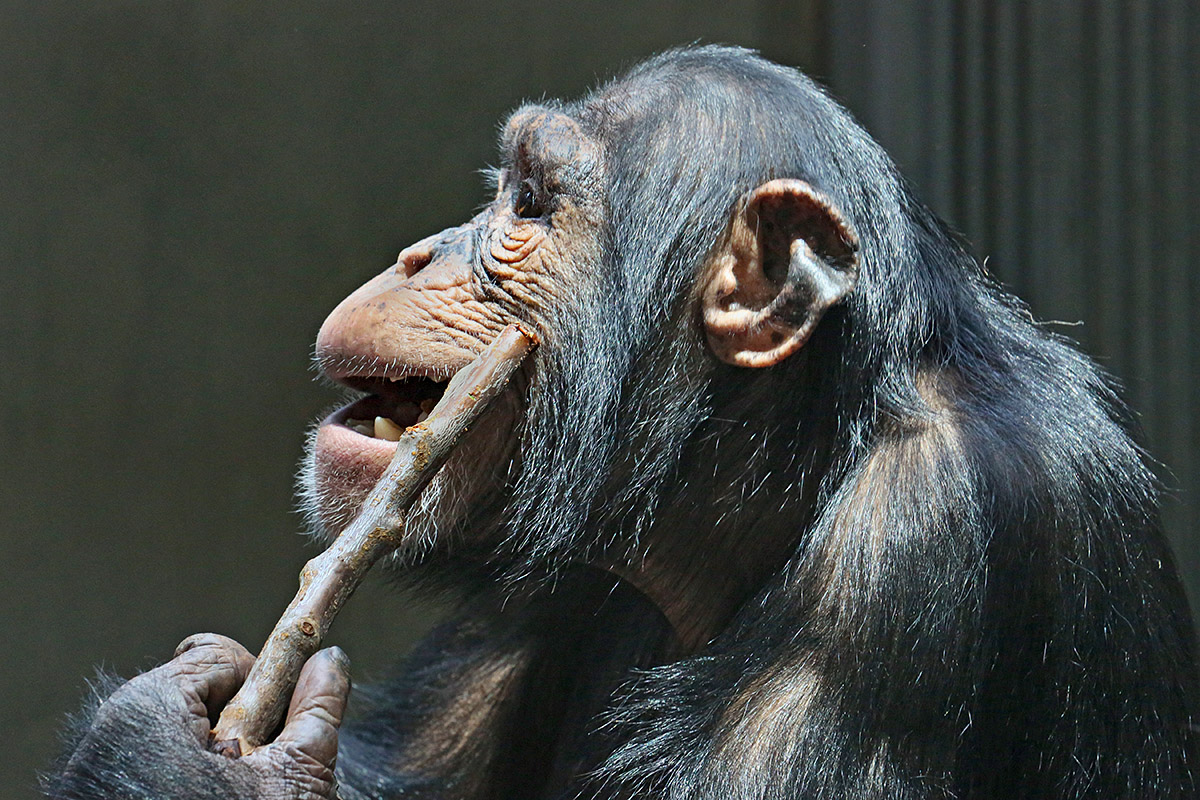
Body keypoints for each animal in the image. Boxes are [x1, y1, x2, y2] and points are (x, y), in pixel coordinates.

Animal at [42, 45, 1195, 800]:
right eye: (504, 187)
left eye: (529, 204)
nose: (419, 253)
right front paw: (145, 728)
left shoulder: (920, 553)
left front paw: (173, 771)